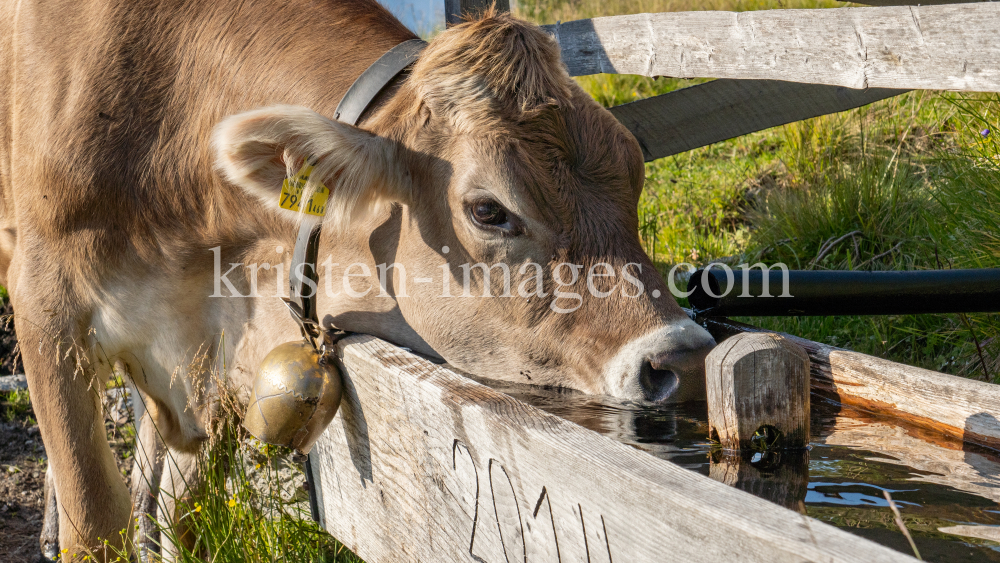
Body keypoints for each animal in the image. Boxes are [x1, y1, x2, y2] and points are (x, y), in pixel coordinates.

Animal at [3, 0, 716, 560]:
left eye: (635, 175)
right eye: (489, 210)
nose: (684, 359)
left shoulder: (221, 351)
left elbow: (184, 517)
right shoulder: (47, 309)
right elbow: (94, 520)